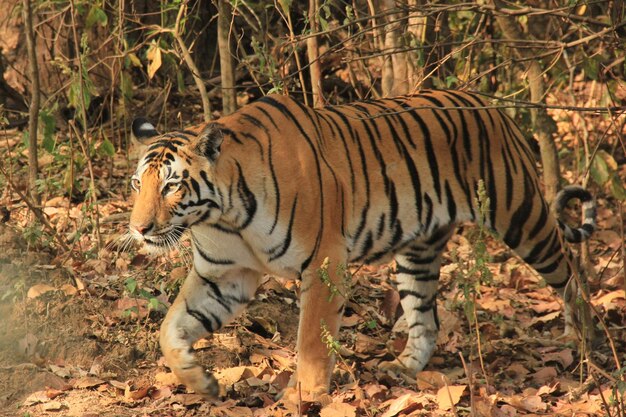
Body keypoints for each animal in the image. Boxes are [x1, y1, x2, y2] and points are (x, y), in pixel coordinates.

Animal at [128, 90, 596, 400]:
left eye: (171, 185)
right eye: (137, 184)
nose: (139, 228)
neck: (223, 213)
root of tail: (492, 104)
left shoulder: (323, 263)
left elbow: (312, 342)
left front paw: (303, 397)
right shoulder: (224, 275)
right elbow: (170, 328)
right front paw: (201, 382)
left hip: (523, 218)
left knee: (571, 275)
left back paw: (585, 343)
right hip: (418, 254)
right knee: (426, 320)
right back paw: (403, 369)